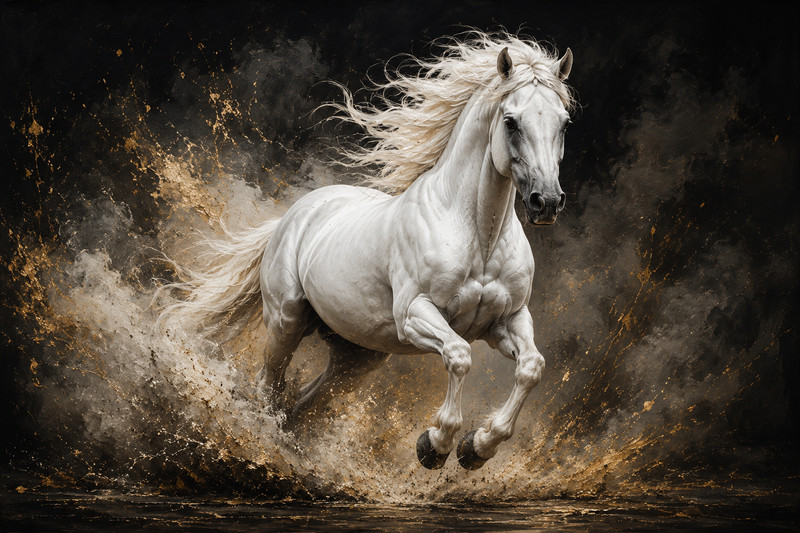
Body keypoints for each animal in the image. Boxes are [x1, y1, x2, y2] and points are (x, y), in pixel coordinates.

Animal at [159, 32, 575, 471]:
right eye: (511, 121)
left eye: (564, 123)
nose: (546, 202)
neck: (478, 236)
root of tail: (294, 214)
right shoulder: (415, 314)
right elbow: (459, 355)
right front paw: (435, 444)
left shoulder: (508, 319)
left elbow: (532, 367)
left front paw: (477, 447)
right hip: (286, 320)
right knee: (268, 388)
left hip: (356, 358)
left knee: (303, 406)